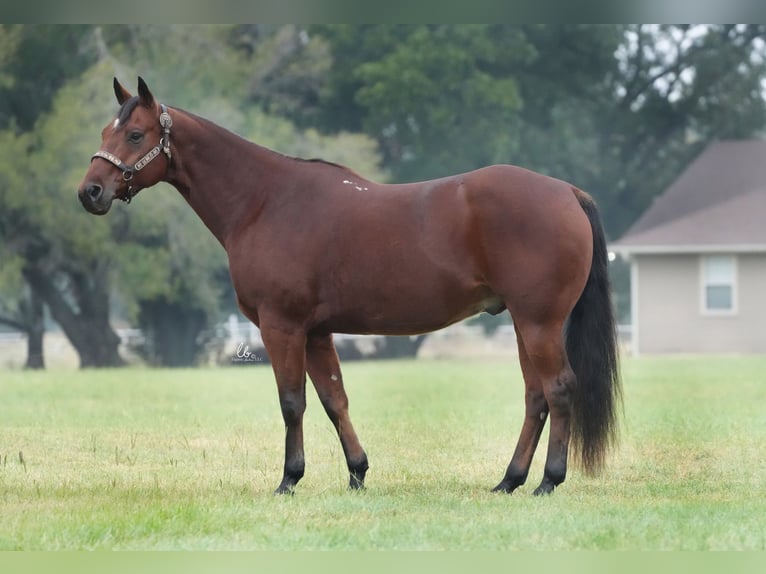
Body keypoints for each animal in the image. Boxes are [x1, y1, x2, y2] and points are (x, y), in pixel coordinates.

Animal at [76, 77, 624, 496]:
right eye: (106, 130)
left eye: (136, 134)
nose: (90, 192)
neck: (265, 201)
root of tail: (566, 192)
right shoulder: (317, 332)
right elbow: (333, 399)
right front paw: (357, 474)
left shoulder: (282, 326)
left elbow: (292, 402)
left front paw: (289, 480)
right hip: (523, 323)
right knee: (536, 397)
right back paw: (509, 480)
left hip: (539, 322)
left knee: (559, 389)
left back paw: (548, 481)